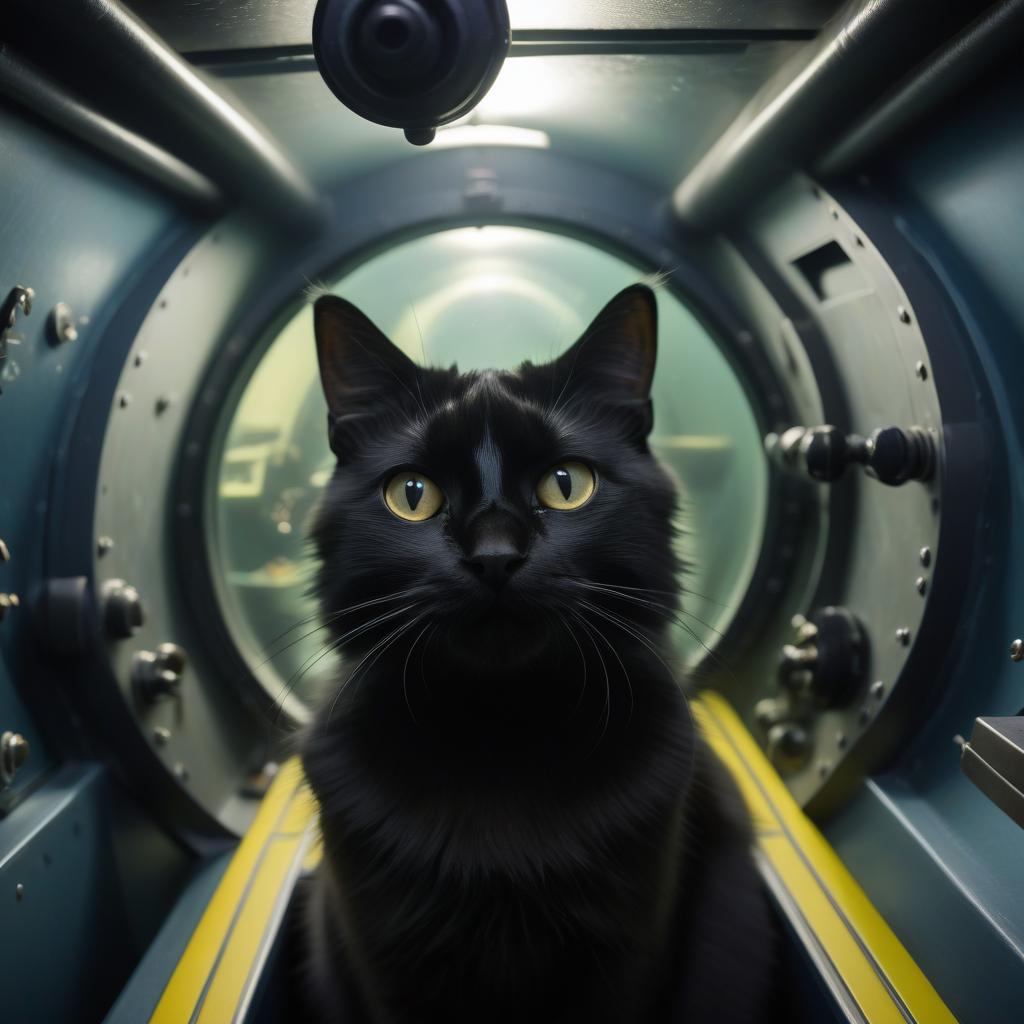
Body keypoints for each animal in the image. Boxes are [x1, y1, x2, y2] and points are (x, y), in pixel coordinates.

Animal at [299, 284, 778, 1019]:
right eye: (413, 495)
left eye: (566, 483)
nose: (495, 556)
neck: (503, 736)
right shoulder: (385, 964)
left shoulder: (629, 954)